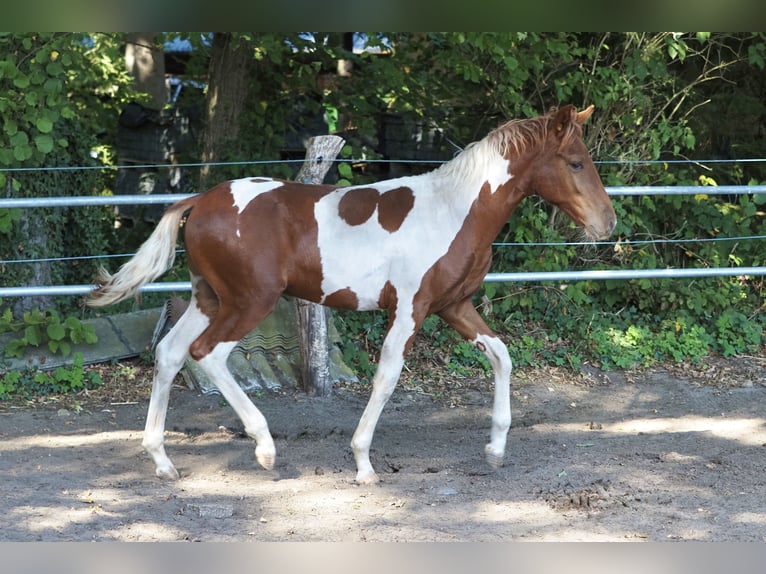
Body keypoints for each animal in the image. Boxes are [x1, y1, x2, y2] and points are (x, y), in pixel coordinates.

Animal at [87, 104, 616, 485]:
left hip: (208, 299)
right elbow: (386, 377)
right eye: (575, 162)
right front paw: (363, 464)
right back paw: (265, 448)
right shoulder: (410, 310)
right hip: (250, 302)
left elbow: (502, 356)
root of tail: (200, 201)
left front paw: (496, 449)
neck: (454, 210)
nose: (607, 224)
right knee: (207, 354)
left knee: (170, 353)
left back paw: (162, 461)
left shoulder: (454, 306)